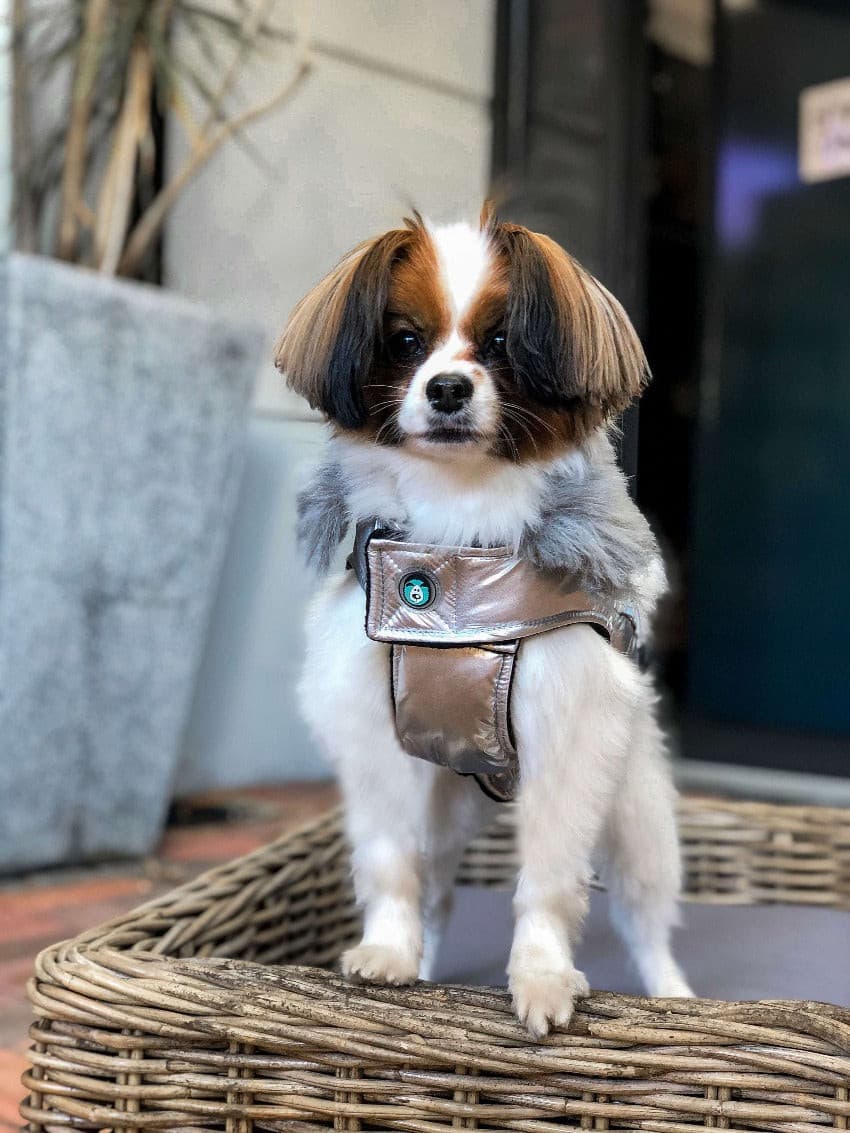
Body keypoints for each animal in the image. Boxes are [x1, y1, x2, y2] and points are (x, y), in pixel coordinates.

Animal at [276, 203, 693, 1037]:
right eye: (405, 342)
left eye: (501, 344)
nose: (444, 388)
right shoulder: (375, 736)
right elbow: (391, 864)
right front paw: (389, 954)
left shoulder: (568, 735)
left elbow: (549, 878)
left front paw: (542, 976)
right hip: (443, 809)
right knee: (437, 890)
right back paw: (428, 963)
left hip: (636, 820)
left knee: (646, 919)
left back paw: (675, 997)